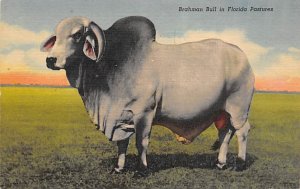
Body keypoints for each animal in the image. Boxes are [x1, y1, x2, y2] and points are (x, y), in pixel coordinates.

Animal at [41, 16, 254, 177]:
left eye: (77, 35)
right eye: (56, 35)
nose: (50, 60)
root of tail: (242, 56)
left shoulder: (144, 112)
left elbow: (140, 142)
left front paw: (141, 170)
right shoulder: (120, 116)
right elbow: (122, 144)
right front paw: (118, 168)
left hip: (239, 108)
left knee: (242, 131)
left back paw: (240, 163)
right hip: (222, 111)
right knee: (225, 133)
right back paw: (220, 163)